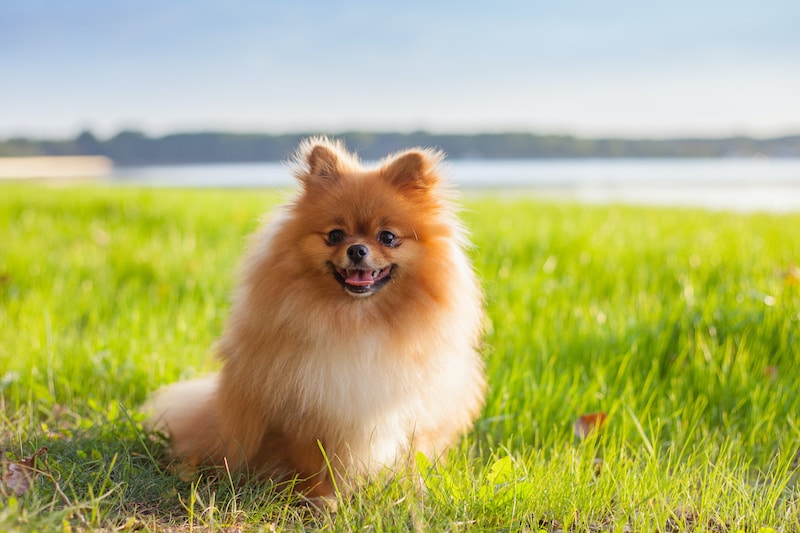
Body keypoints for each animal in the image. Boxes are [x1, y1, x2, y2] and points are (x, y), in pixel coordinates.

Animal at [146, 136, 484, 498]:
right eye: (335, 235)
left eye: (388, 237)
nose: (357, 250)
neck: (358, 321)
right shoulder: (307, 409)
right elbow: (315, 464)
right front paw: (323, 500)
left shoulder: (412, 410)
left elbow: (411, 458)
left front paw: (411, 494)